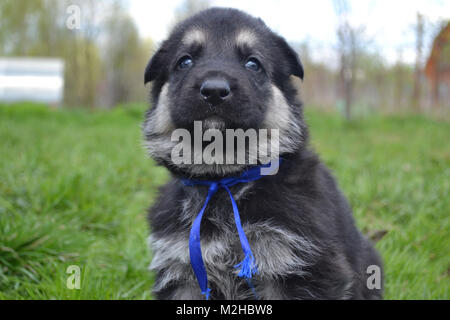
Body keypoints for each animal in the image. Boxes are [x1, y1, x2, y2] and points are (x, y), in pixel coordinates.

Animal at [143, 7, 384, 298]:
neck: (224, 182)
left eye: (253, 64)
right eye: (184, 61)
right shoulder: (183, 273)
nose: (214, 90)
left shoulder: (300, 267)